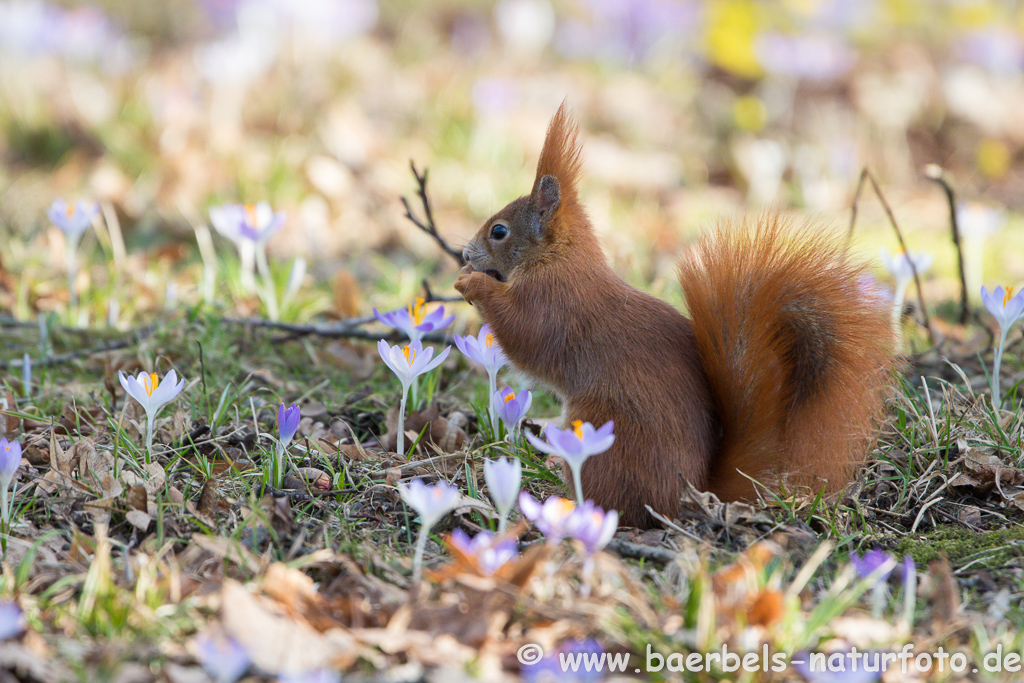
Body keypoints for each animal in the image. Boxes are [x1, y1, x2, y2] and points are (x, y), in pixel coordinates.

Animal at [456, 104, 897, 528]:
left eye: (498, 231)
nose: (465, 253)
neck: (558, 257)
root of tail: (690, 491)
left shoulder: (554, 302)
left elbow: (524, 333)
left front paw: (472, 283)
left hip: (606, 438)